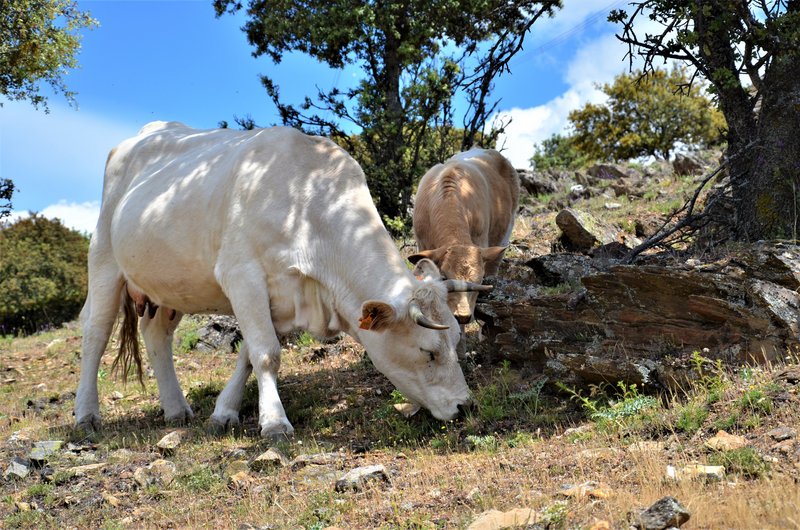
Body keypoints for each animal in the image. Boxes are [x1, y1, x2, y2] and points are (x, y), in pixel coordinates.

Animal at [75, 121, 484, 436]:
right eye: (428, 352)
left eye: (457, 342)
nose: (465, 406)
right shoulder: (241, 274)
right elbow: (266, 353)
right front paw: (273, 423)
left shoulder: (282, 295)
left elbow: (249, 354)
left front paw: (224, 412)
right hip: (104, 258)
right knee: (95, 333)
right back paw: (86, 415)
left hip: (168, 284)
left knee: (157, 334)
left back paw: (176, 409)